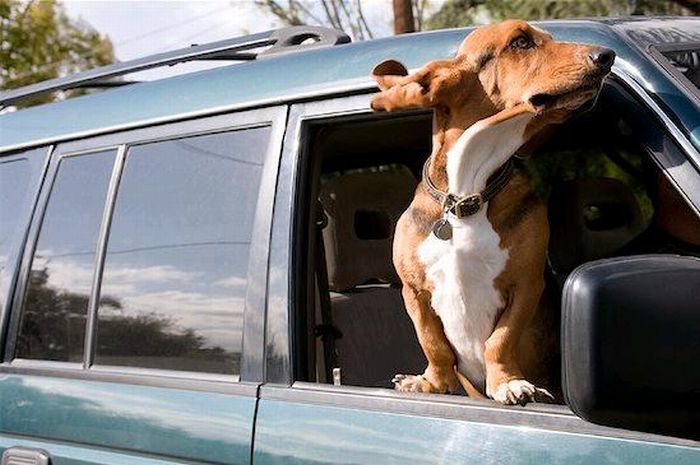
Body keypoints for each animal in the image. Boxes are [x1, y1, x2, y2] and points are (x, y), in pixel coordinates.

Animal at [372, 19, 612, 402]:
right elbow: (433, 343)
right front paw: (431, 382)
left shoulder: (526, 283)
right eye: (521, 42)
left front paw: (508, 382)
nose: (606, 56)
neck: (466, 195)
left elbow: (500, 339)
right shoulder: (414, 291)